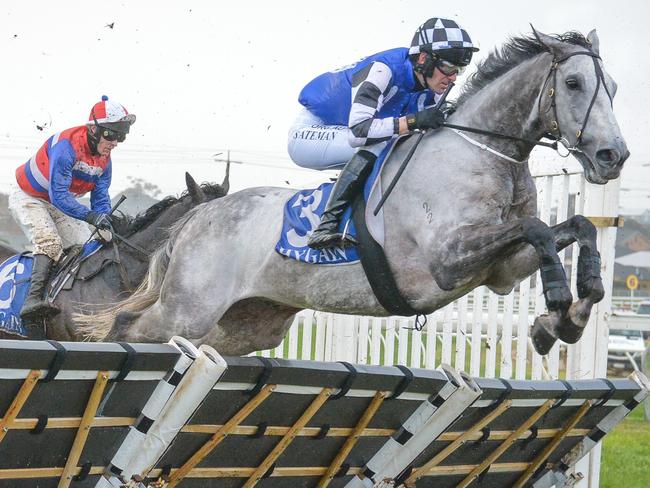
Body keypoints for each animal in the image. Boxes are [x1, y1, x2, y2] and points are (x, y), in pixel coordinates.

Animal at [92, 31, 628, 358]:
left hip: (244, 323)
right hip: (188, 308)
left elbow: (573, 227)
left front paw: (568, 315)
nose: (613, 156)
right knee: (127, 327)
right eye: (573, 82)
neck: (484, 151)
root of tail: (194, 220)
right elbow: (537, 228)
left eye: (615, 87)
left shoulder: (500, 272)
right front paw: (558, 300)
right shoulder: (447, 261)